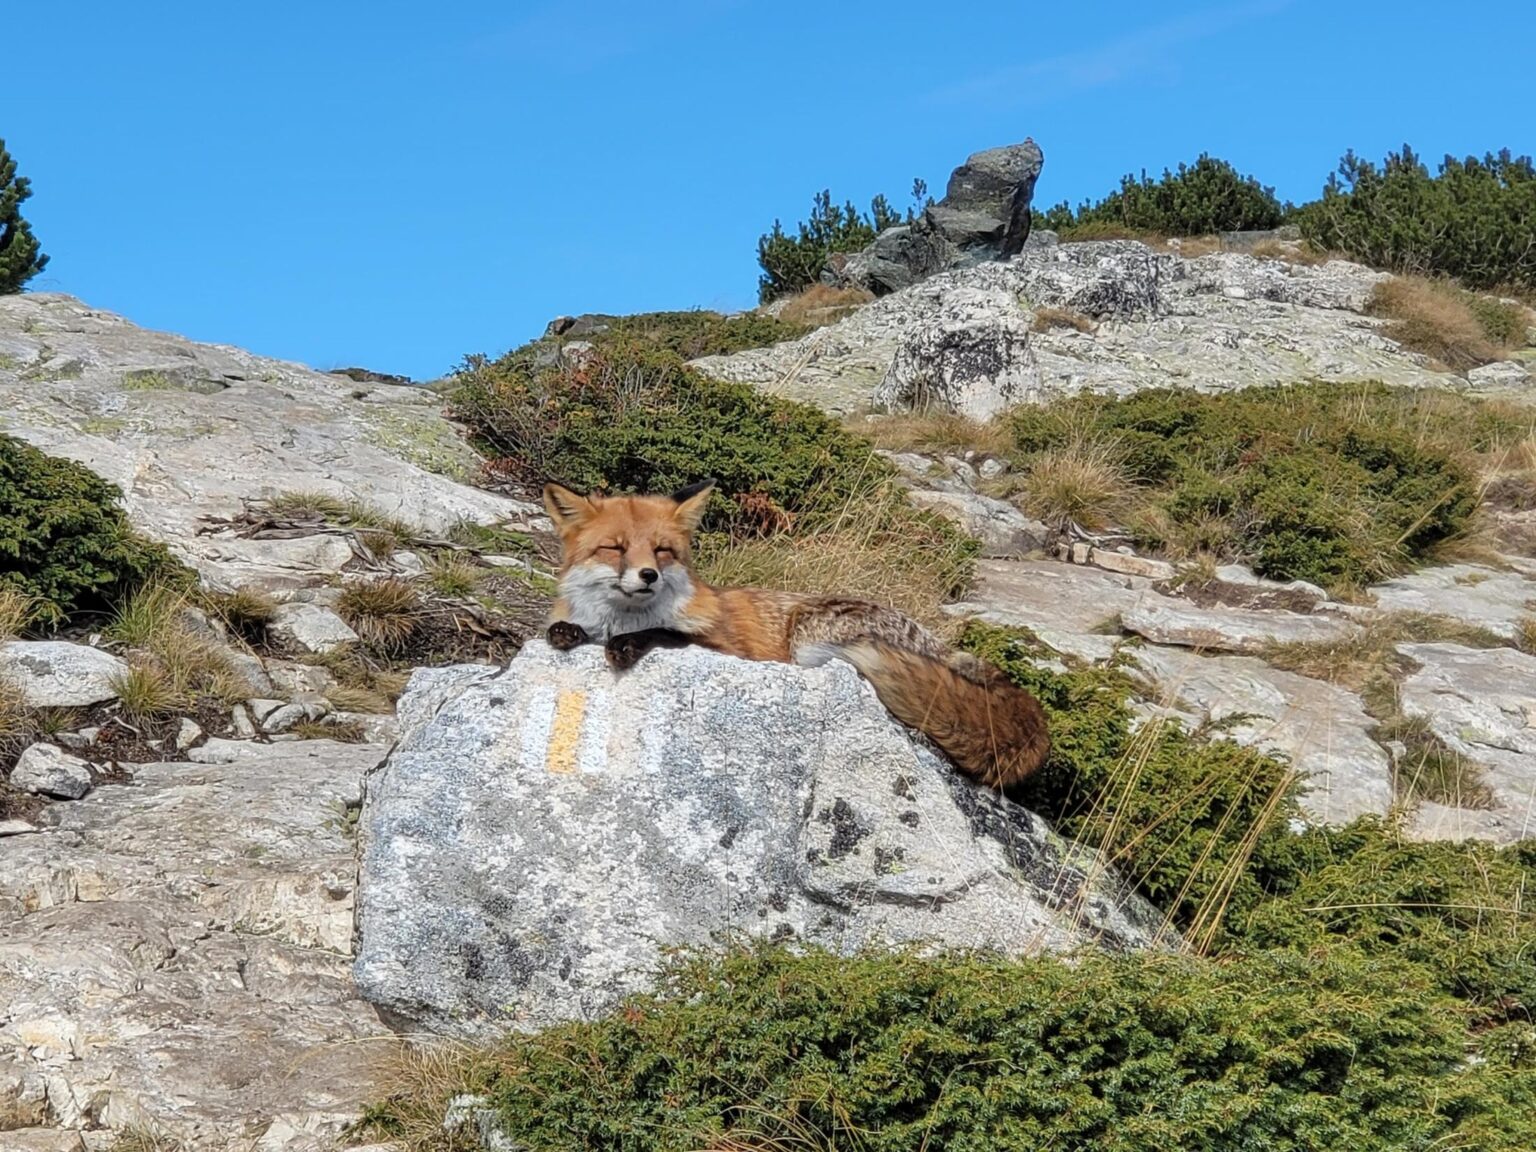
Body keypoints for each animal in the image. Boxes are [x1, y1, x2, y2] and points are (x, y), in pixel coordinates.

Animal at [539, 479, 1051, 790]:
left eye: (663, 551)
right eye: (615, 548)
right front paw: (567, 630)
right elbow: (564, 629)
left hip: (812, 638)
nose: (648, 576)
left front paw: (627, 644)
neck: (622, 618)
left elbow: (665, 632)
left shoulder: (729, 647)